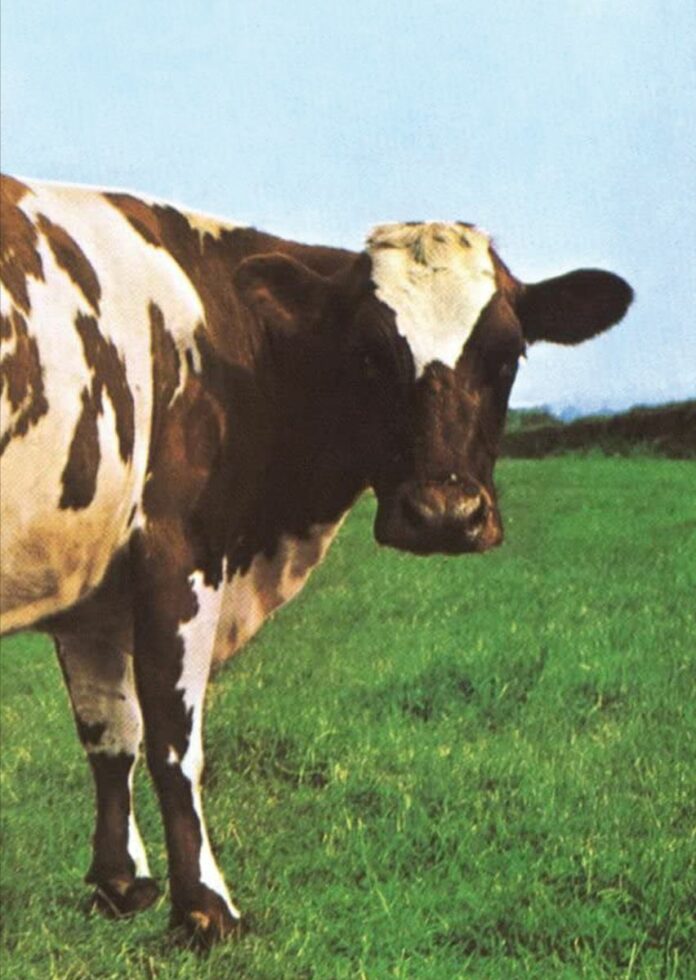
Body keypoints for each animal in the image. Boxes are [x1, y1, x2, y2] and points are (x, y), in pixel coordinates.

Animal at [0, 175, 633, 944]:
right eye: (368, 354)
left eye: (509, 354)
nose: (445, 514)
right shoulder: (180, 556)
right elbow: (175, 741)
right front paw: (206, 908)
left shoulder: (91, 579)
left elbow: (109, 734)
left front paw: (122, 884)